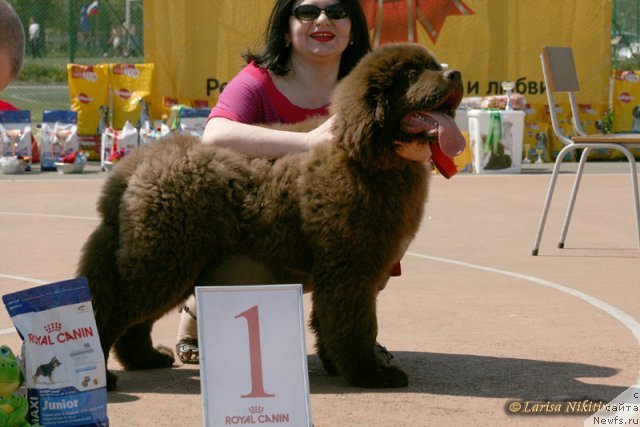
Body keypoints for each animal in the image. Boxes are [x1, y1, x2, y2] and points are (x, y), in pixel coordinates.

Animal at [79, 43, 464, 392]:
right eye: (411, 74)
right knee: (109, 309)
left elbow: (329, 322)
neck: (363, 154)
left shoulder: (342, 268)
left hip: (165, 259)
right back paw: (103, 378)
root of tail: (134, 164)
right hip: (162, 258)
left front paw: (336, 365)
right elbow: (356, 324)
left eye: (435, 65)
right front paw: (368, 374)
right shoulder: (350, 266)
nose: (455, 74)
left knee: (133, 321)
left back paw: (145, 359)